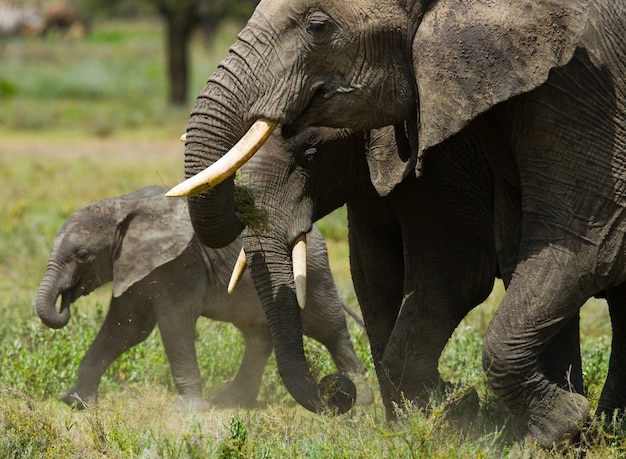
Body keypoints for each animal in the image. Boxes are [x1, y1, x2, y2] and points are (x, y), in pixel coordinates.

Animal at [35, 185, 370, 412]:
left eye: (82, 255)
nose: (65, 301)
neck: (122, 204)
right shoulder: (134, 264)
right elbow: (125, 328)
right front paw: (76, 401)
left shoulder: (181, 264)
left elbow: (173, 325)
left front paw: (186, 411)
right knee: (257, 337)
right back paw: (232, 401)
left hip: (313, 273)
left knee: (331, 330)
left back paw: (364, 401)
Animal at [167, 0, 624, 446]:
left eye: (311, 155)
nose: (337, 390)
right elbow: (372, 277)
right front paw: (415, 421)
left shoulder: (451, 158)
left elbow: (455, 274)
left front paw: (452, 413)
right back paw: (597, 429)